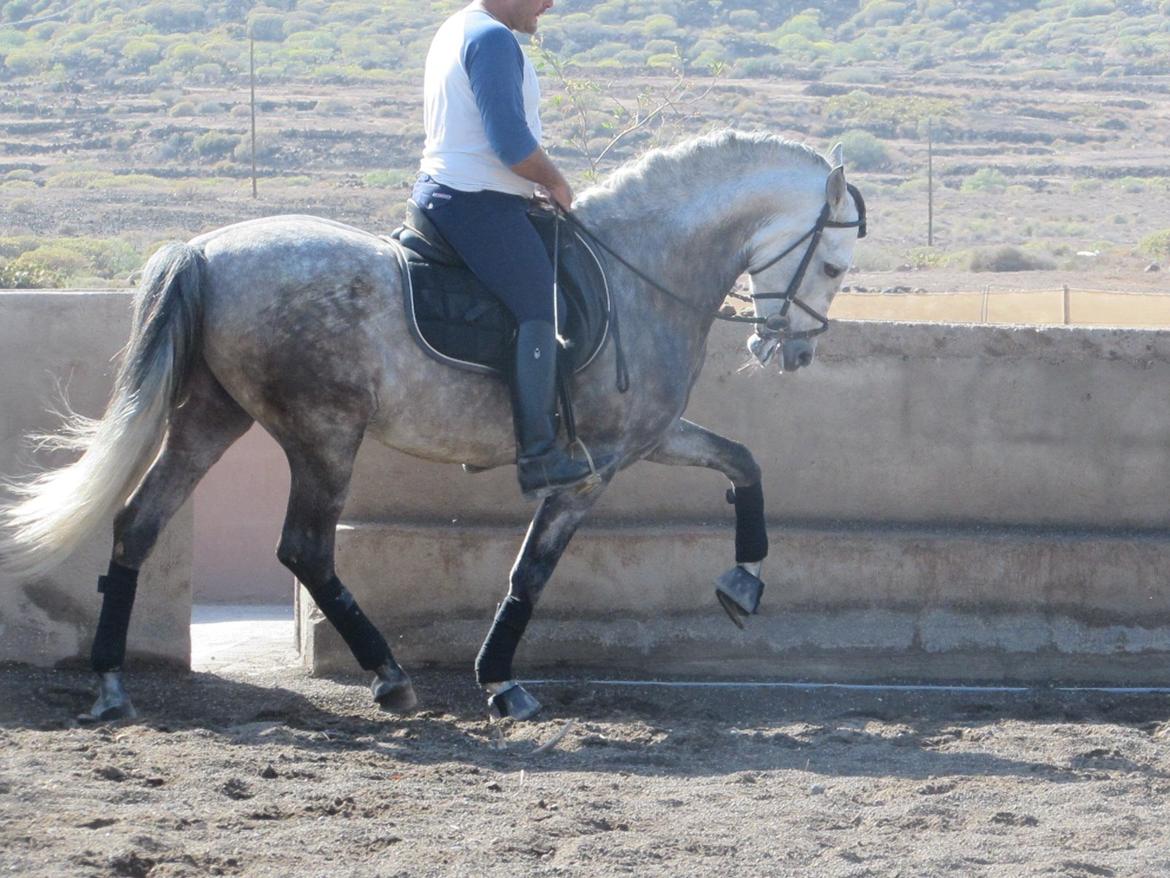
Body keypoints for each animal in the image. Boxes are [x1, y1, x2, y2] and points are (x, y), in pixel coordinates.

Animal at [0, 130, 861, 721]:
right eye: (834, 265)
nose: (791, 351)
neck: (643, 272)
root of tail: (206, 253)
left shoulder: (650, 437)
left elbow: (743, 463)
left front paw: (743, 583)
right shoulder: (599, 462)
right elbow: (531, 571)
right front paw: (501, 682)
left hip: (214, 417)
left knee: (138, 523)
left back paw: (112, 682)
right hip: (323, 433)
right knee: (304, 549)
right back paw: (390, 677)